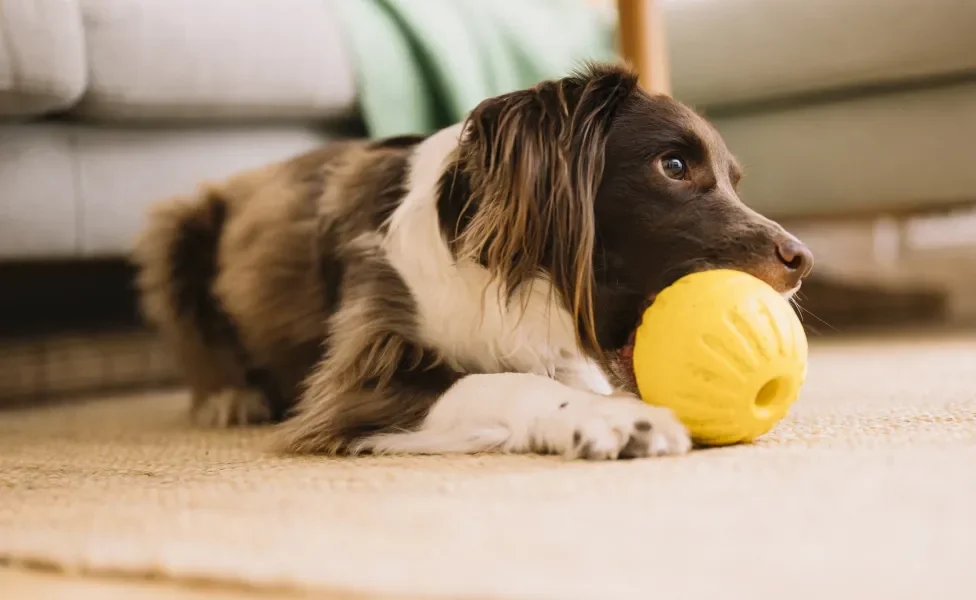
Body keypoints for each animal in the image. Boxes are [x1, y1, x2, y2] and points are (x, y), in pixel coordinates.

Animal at [133, 63, 812, 460]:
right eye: (673, 165)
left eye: (733, 180)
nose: (801, 259)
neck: (514, 279)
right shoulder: (359, 377)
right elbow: (495, 381)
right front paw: (614, 419)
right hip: (178, 225)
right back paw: (229, 397)